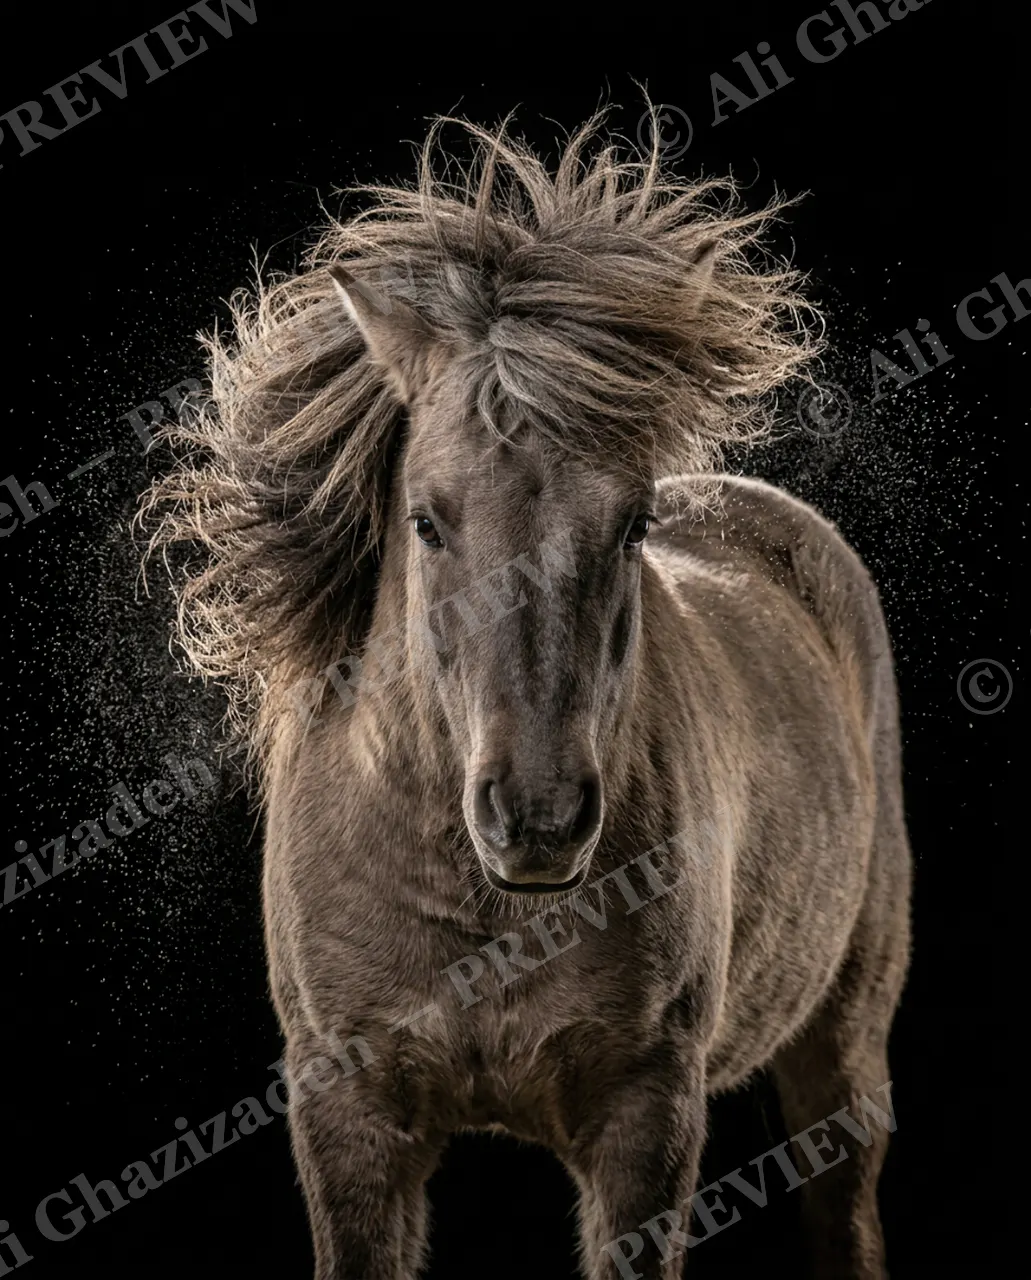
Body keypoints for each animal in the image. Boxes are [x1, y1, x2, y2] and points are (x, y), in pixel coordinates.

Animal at [143, 114, 911, 1279]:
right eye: (424, 520)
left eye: (632, 522)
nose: (539, 819)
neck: (480, 910)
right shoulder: (348, 1120)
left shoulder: (644, 1119)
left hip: (843, 1045)